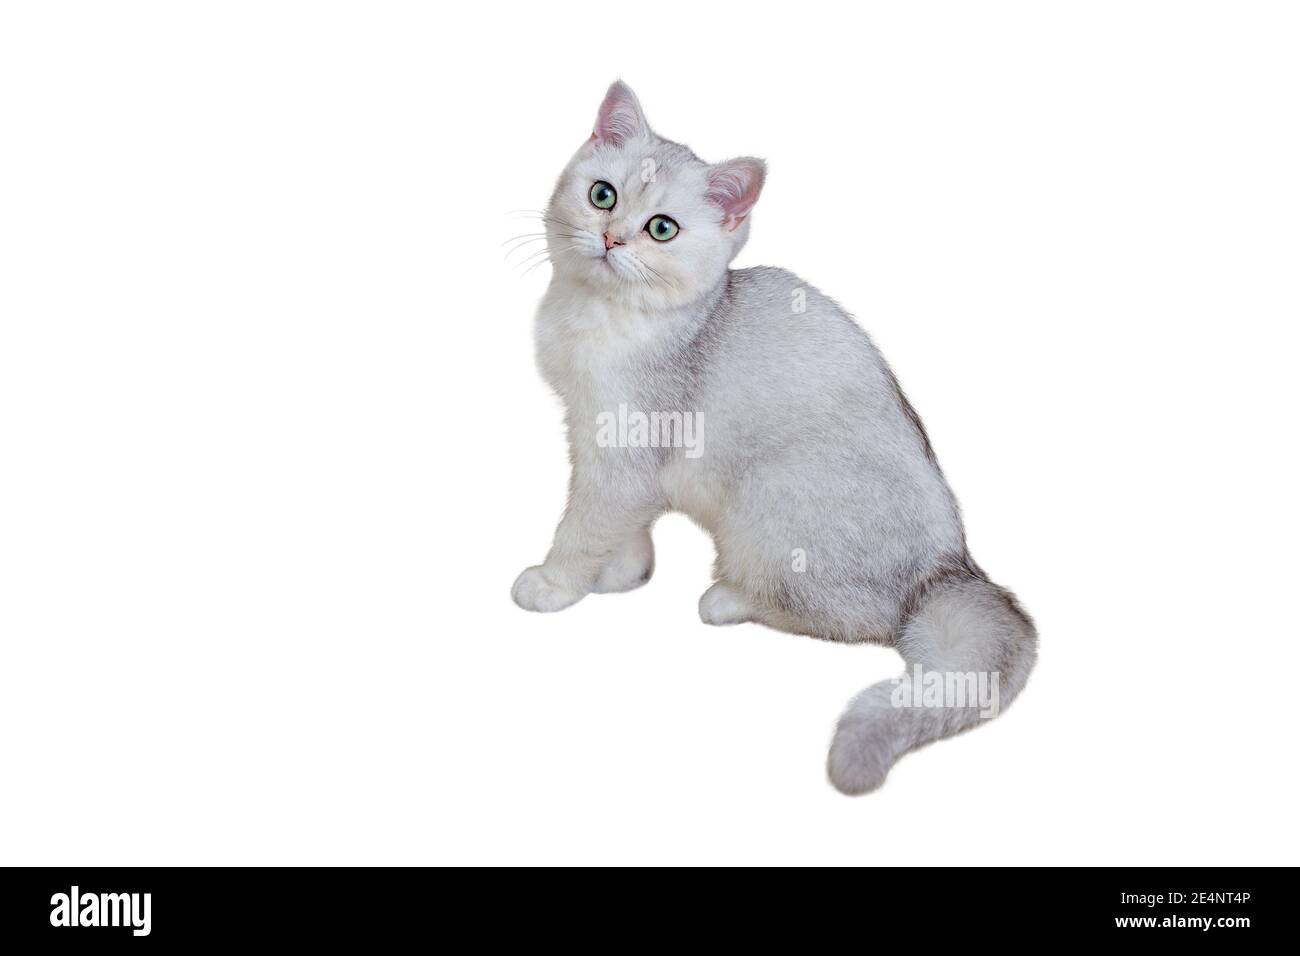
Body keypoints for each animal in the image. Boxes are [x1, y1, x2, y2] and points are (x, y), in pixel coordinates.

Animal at [512, 80, 1029, 790]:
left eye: (662, 228)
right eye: (603, 195)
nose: (613, 239)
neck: (599, 314)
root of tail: (951, 566)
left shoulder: (622, 446)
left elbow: (584, 525)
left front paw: (557, 583)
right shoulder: (602, 443)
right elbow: (627, 525)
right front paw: (624, 573)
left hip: (768, 496)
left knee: (852, 618)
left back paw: (727, 599)